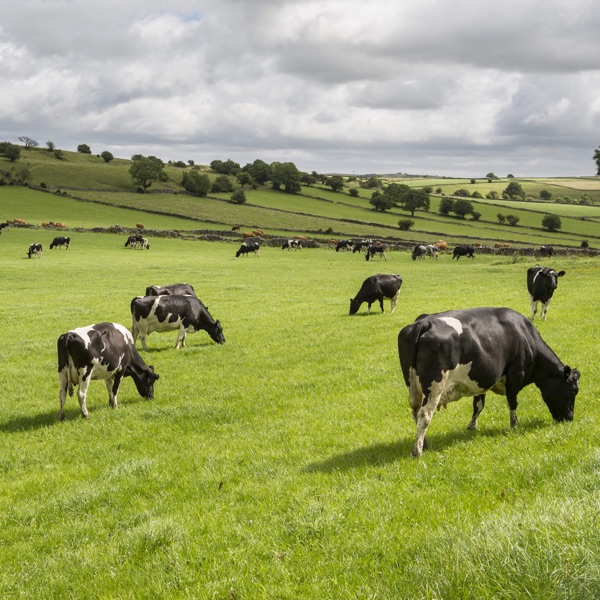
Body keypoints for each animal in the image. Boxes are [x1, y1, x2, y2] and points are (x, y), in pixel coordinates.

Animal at [398, 308, 580, 458]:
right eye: (573, 391)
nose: (570, 417)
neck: (525, 336)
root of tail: (424, 322)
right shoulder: (515, 375)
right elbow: (512, 403)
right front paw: (515, 425)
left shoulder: (482, 380)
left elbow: (478, 404)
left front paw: (472, 426)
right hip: (434, 387)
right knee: (424, 415)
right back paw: (418, 451)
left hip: (413, 387)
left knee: (415, 413)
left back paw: (424, 444)